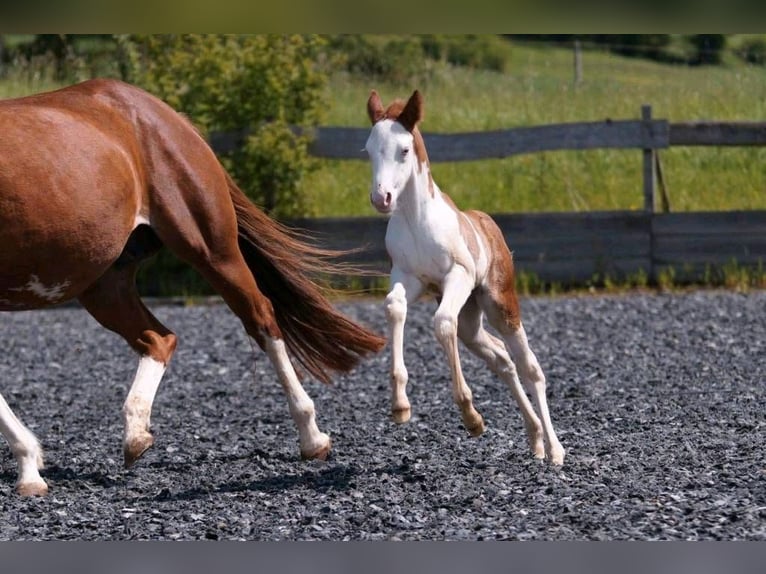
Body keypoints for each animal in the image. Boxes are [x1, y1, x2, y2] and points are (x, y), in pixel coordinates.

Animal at [0, 79, 384, 498]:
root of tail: (164, 114)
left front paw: (29, 469)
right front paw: (29, 469)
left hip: (212, 249)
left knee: (261, 317)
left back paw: (312, 438)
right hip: (103, 283)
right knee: (159, 339)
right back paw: (136, 436)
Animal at [368, 91, 568, 468]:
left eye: (404, 149)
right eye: (369, 149)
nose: (381, 198)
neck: (417, 221)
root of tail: (488, 223)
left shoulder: (455, 277)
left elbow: (442, 322)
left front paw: (471, 416)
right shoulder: (408, 277)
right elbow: (394, 307)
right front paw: (400, 405)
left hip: (500, 305)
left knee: (530, 367)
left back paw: (554, 450)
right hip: (471, 322)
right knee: (502, 360)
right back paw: (535, 440)